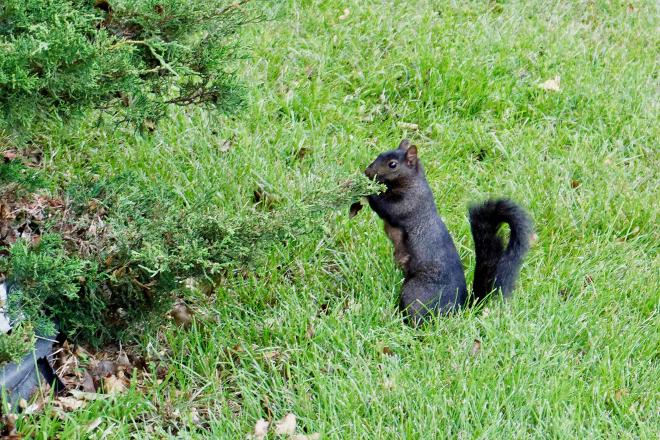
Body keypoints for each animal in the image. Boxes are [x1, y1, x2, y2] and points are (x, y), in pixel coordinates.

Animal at [358, 139, 532, 324]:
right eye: (380, 155)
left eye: (392, 165)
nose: (367, 171)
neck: (413, 182)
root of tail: (459, 309)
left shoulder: (409, 204)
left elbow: (386, 208)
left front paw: (367, 189)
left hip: (416, 292)